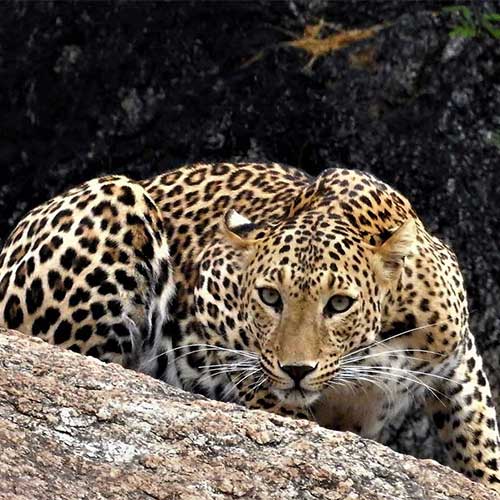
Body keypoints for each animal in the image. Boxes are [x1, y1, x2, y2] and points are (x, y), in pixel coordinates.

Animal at [0, 162, 500, 490]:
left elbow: (480, 440)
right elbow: (260, 382)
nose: (297, 370)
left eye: (339, 303)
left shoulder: (461, 359)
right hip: (118, 196)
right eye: (269, 297)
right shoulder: (210, 298)